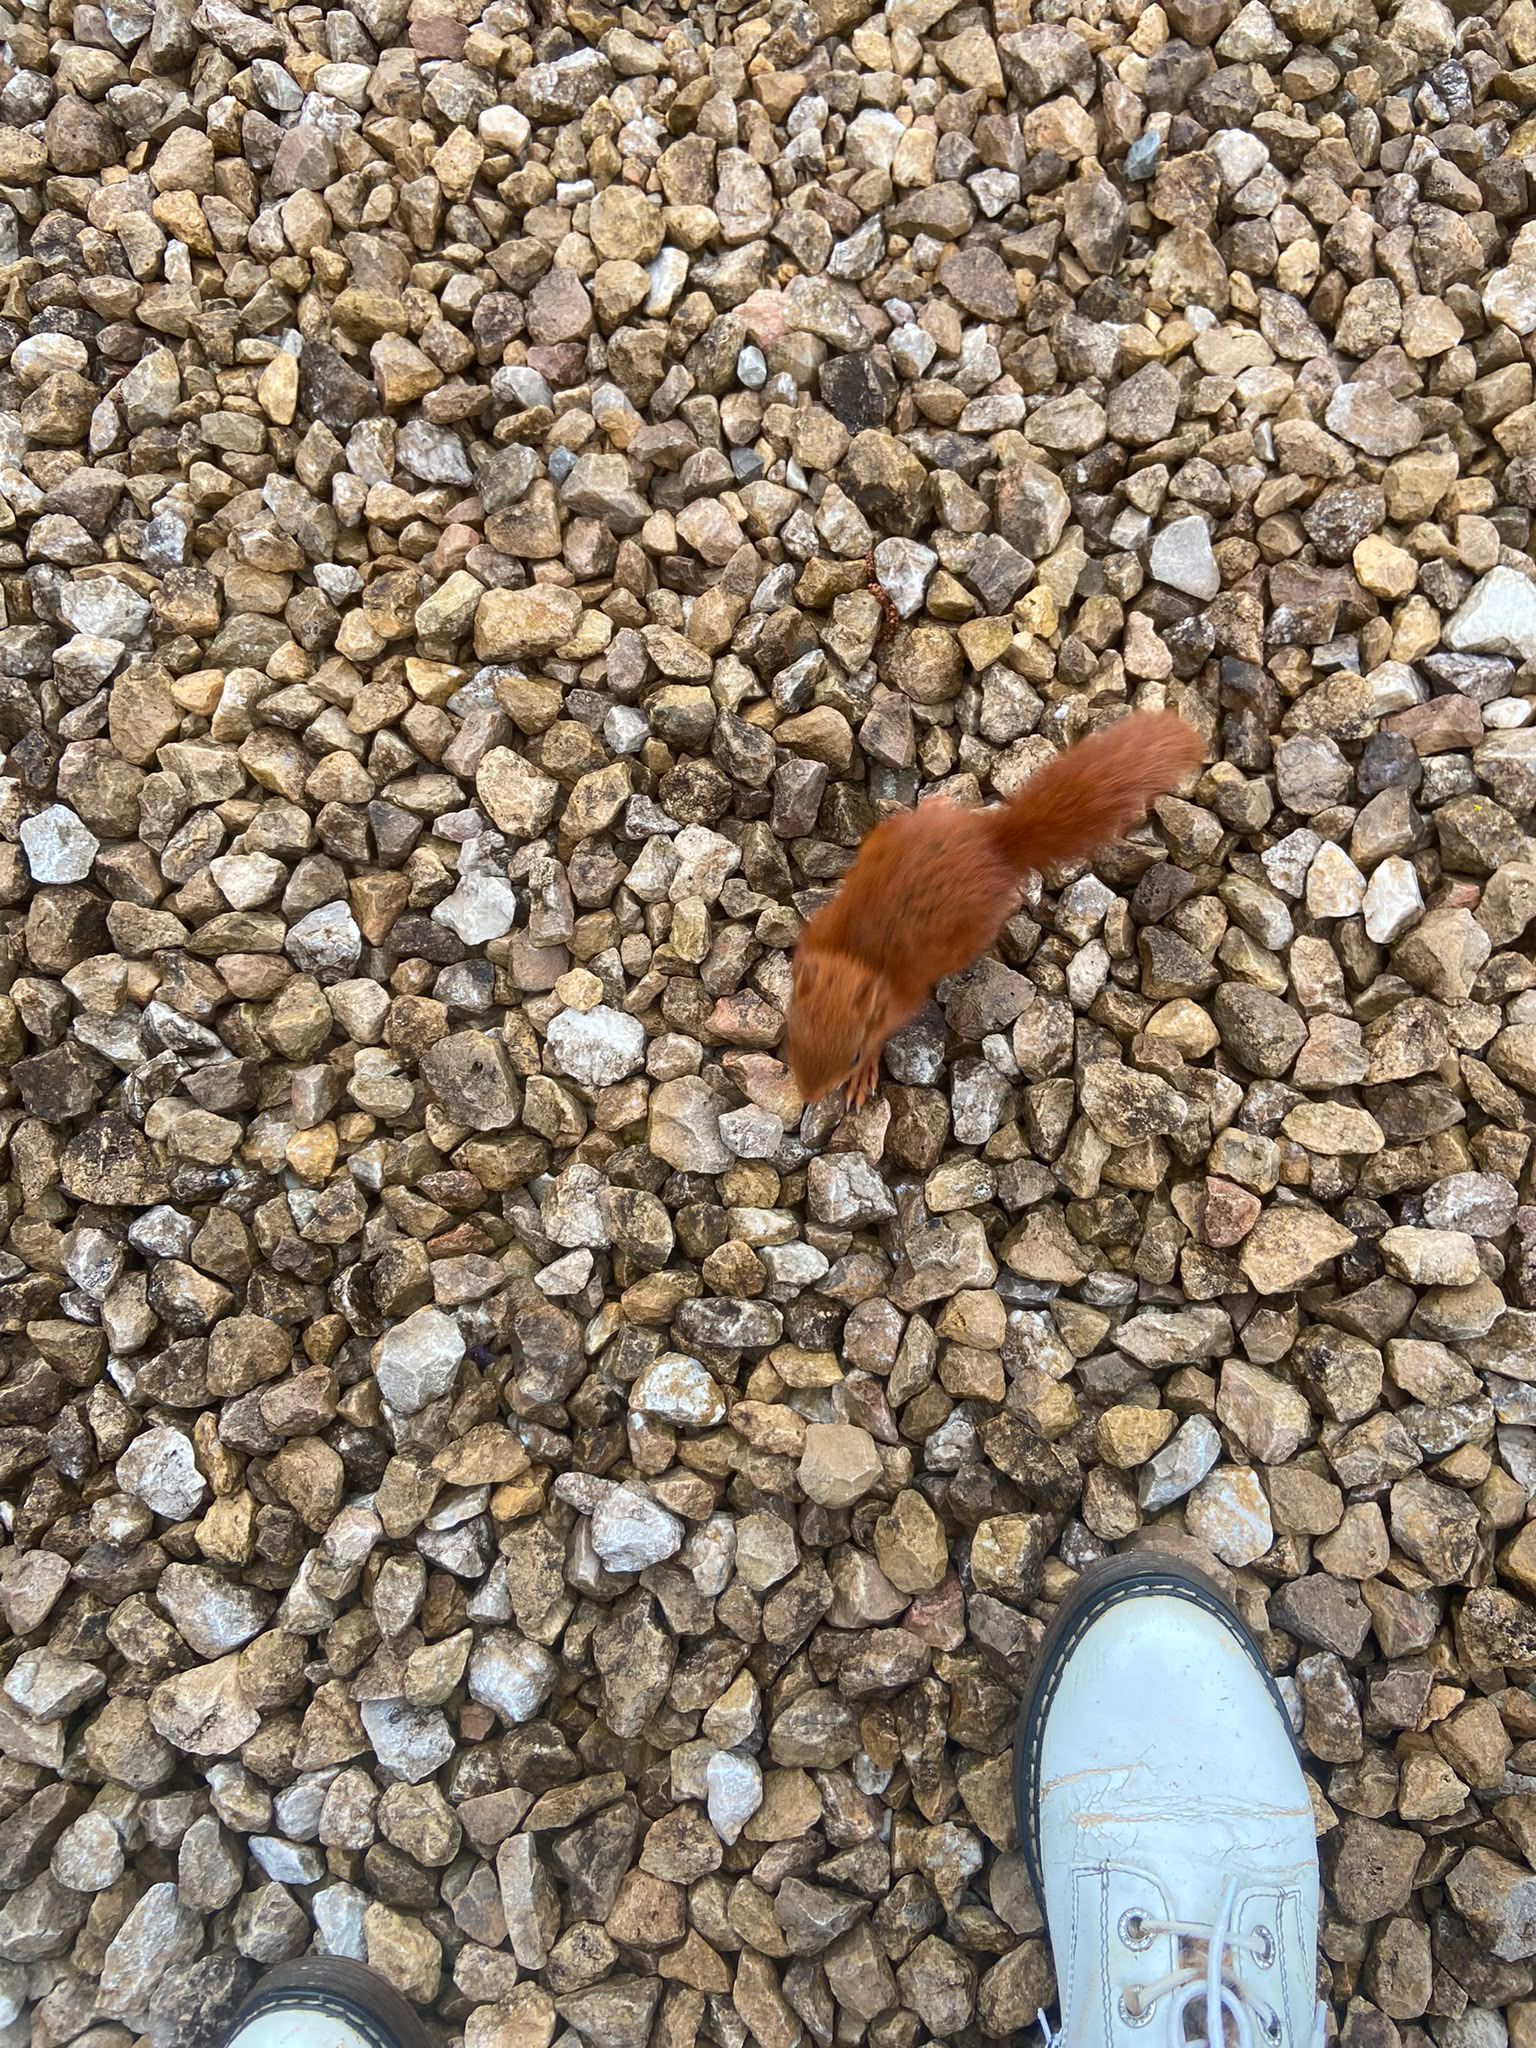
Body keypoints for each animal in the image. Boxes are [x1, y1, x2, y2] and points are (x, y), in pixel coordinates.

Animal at [785, 710, 1204, 1108]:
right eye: (794, 1032)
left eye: (853, 1055)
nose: (807, 1095)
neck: (854, 953)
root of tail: (994, 844)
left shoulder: (902, 998)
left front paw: (862, 1078)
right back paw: (938, 800)